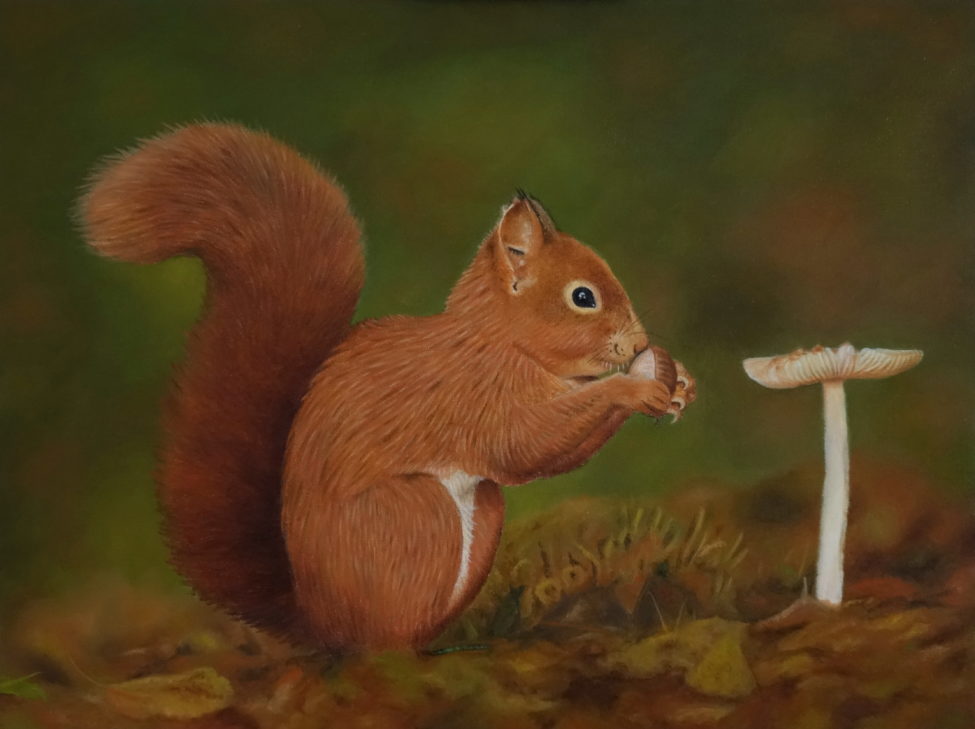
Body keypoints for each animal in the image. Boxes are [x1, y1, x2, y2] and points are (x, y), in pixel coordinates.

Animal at [80, 123, 694, 654]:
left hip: (480, 514)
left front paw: (676, 380)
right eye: (582, 297)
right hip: (412, 517)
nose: (639, 342)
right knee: (379, 637)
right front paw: (631, 389)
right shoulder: (472, 396)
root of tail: (318, 621)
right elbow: (525, 445)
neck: (499, 342)